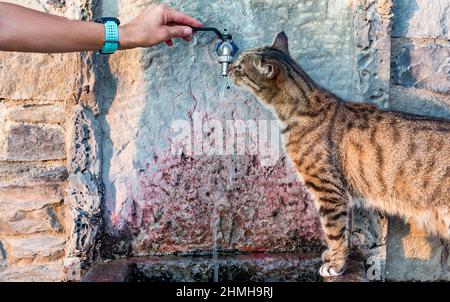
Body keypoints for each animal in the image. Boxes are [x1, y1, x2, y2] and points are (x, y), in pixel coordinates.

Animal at [230, 31, 448, 278]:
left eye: (240, 67)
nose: (228, 68)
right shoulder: (344, 194)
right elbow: (346, 230)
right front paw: (336, 256)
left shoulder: (327, 190)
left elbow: (334, 231)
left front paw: (335, 264)